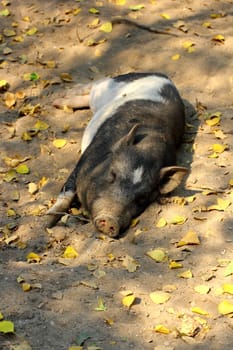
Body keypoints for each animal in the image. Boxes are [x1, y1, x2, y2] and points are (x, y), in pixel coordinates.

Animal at [46, 73, 187, 238]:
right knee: (95, 84)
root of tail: (163, 76)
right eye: (112, 174)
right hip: (110, 86)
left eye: (143, 197)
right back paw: (59, 98)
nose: (110, 220)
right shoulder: (84, 161)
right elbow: (66, 193)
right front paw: (48, 222)